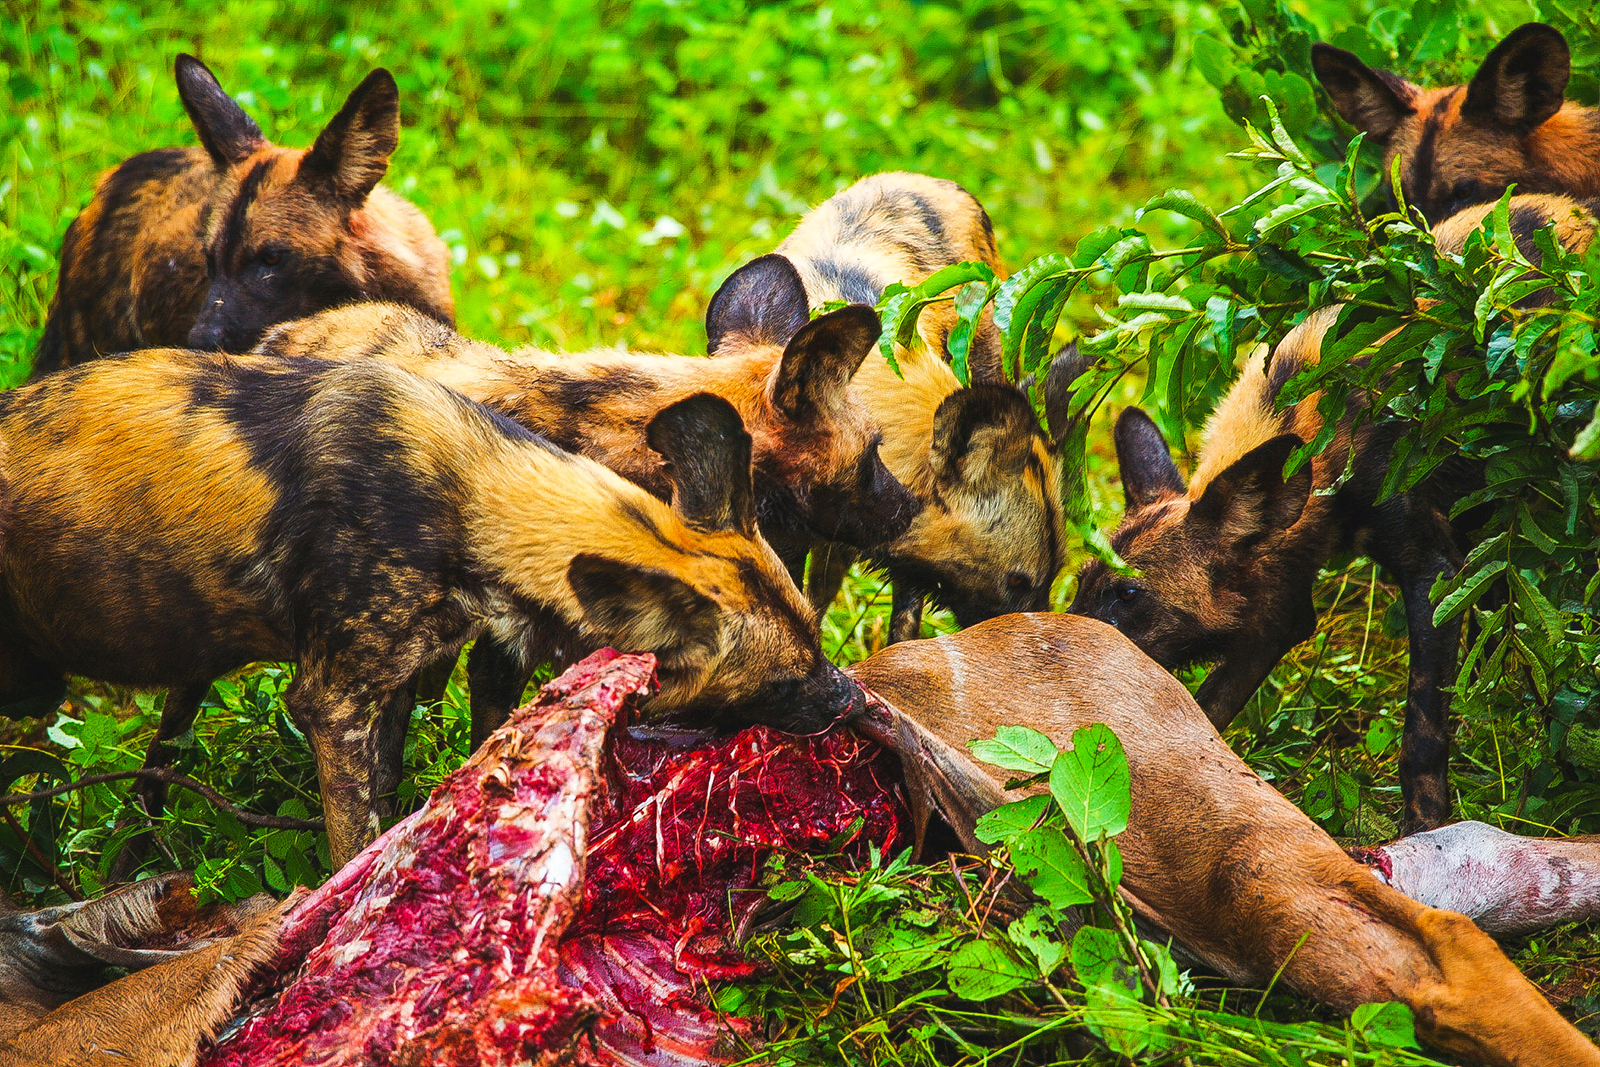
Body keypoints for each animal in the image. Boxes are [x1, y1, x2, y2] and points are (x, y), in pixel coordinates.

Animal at [0, 350, 857, 870]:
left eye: (820, 645)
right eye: (782, 682)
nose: (849, 700)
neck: (473, 501)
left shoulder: (394, 686)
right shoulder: (334, 703)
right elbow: (356, 842)